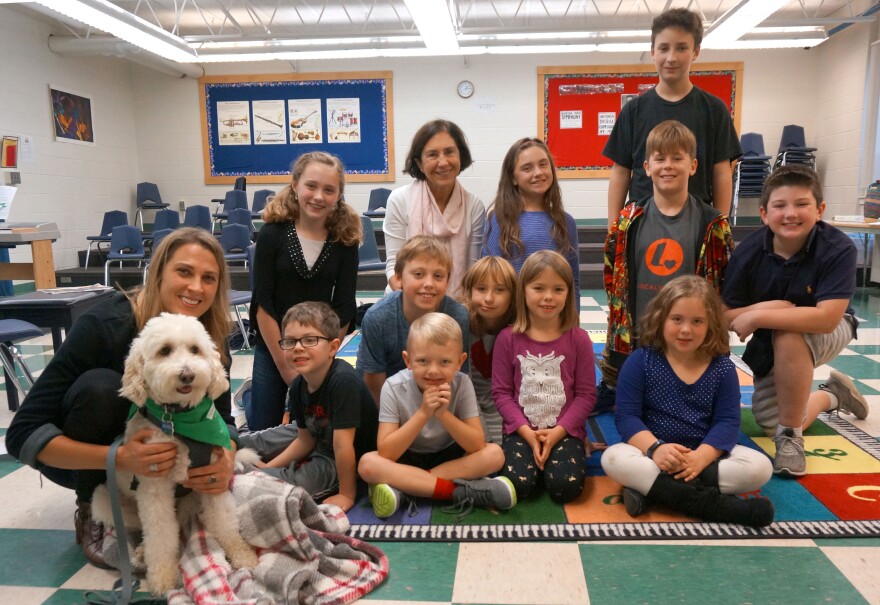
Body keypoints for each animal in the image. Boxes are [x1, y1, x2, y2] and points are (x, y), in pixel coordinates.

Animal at [92, 314, 258, 592]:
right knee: (146, 532)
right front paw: (163, 577)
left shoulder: (212, 478)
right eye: (164, 351)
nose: (187, 375)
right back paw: (139, 552)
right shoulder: (154, 489)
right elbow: (160, 535)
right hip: (104, 498)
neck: (177, 419)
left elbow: (225, 522)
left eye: (195, 349)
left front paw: (243, 555)